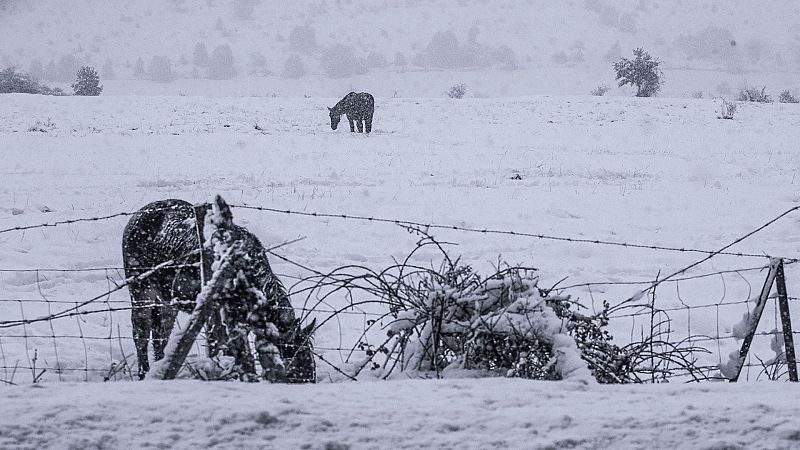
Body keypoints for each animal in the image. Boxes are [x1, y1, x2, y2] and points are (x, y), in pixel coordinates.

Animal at [122, 199, 316, 382]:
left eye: (311, 360)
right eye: (294, 362)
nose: (309, 380)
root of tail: (136, 216)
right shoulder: (213, 314)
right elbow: (219, 347)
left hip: (167, 300)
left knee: (160, 335)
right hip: (141, 291)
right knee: (141, 333)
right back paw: (144, 373)